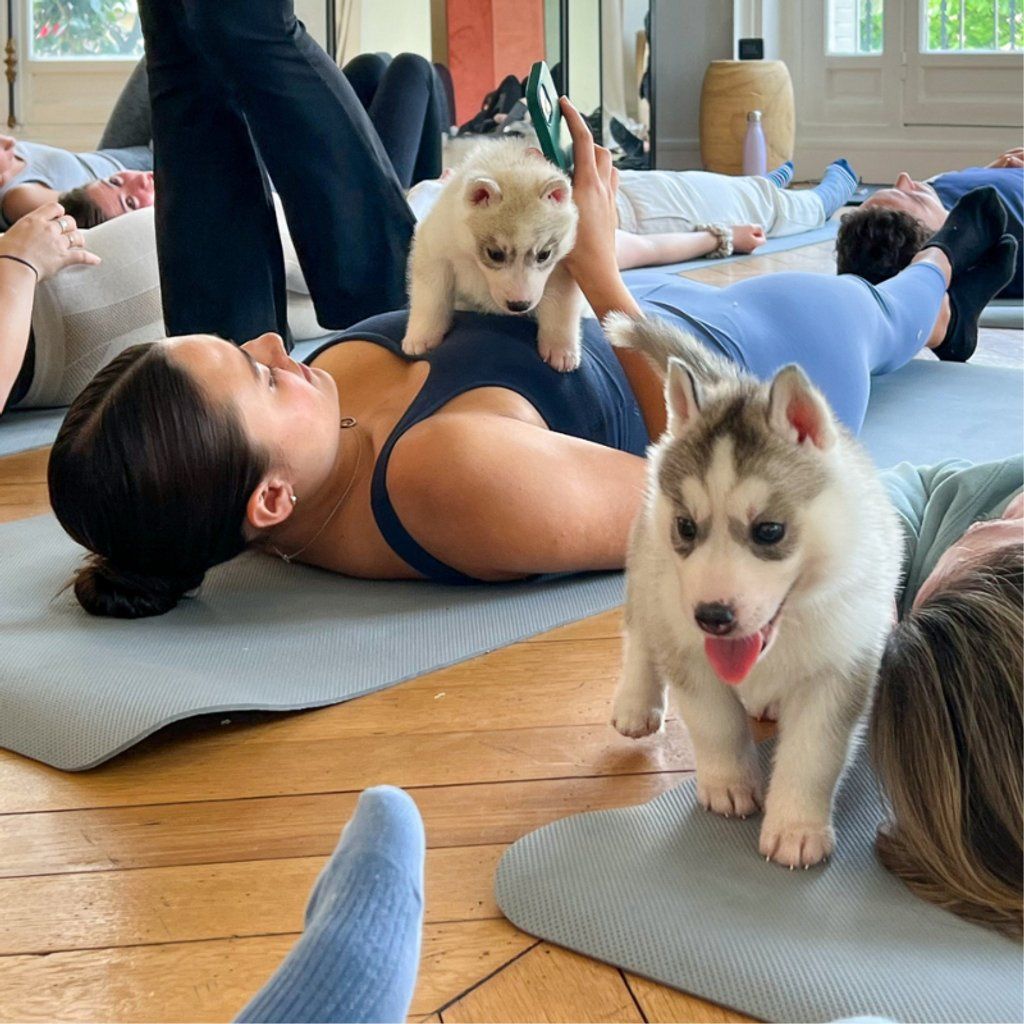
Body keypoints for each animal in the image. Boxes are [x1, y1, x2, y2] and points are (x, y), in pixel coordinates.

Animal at [399, 138, 585, 372]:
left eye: (544, 254)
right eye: (495, 254)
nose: (519, 305)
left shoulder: (563, 266)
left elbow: (561, 305)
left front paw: (561, 348)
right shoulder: (436, 245)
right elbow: (431, 296)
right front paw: (420, 336)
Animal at [602, 311, 901, 864]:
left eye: (769, 531)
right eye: (686, 527)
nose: (712, 617)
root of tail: (729, 382)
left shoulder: (840, 668)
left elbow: (813, 753)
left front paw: (796, 827)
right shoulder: (690, 652)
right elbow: (716, 724)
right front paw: (729, 785)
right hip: (648, 572)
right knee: (640, 632)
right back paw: (635, 700)